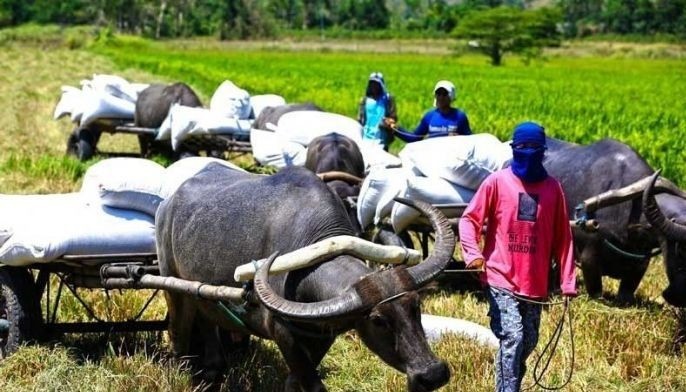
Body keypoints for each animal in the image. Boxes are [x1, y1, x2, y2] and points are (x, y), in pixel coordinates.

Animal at [157, 164, 456, 392]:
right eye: (378, 320)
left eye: (416, 306)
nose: (432, 374)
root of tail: (167, 205)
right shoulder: (281, 330)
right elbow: (312, 384)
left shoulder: (322, 333)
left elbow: (295, 380)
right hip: (173, 287)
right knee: (179, 333)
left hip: (204, 296)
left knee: (208, 324)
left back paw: (212, 369)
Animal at [544, 138, 686, 306]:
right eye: (681, 251)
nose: (678, 298)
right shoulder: (589, 256)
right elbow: (596, 291)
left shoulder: (641, 260)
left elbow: (627, 291)